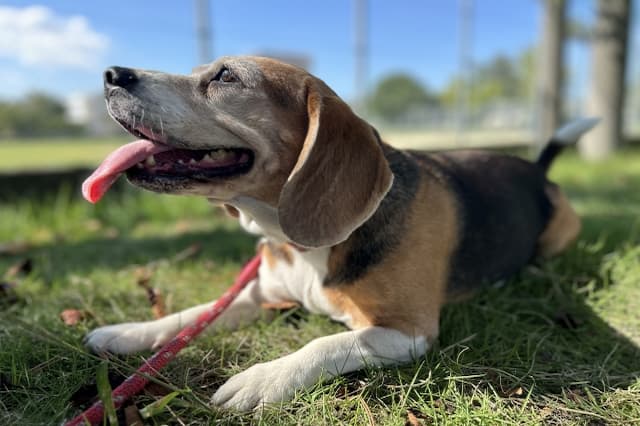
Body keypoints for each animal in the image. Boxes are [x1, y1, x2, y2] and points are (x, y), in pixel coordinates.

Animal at [81, 55, 600, 410]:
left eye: (225, 77)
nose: (111, 74)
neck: (300, 244)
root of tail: (535, 169)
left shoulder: (407, 331)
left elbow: (324, 342)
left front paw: (261, 378)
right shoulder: (257, 295)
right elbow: (191, 315)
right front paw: (128, 332)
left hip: (559, 235)